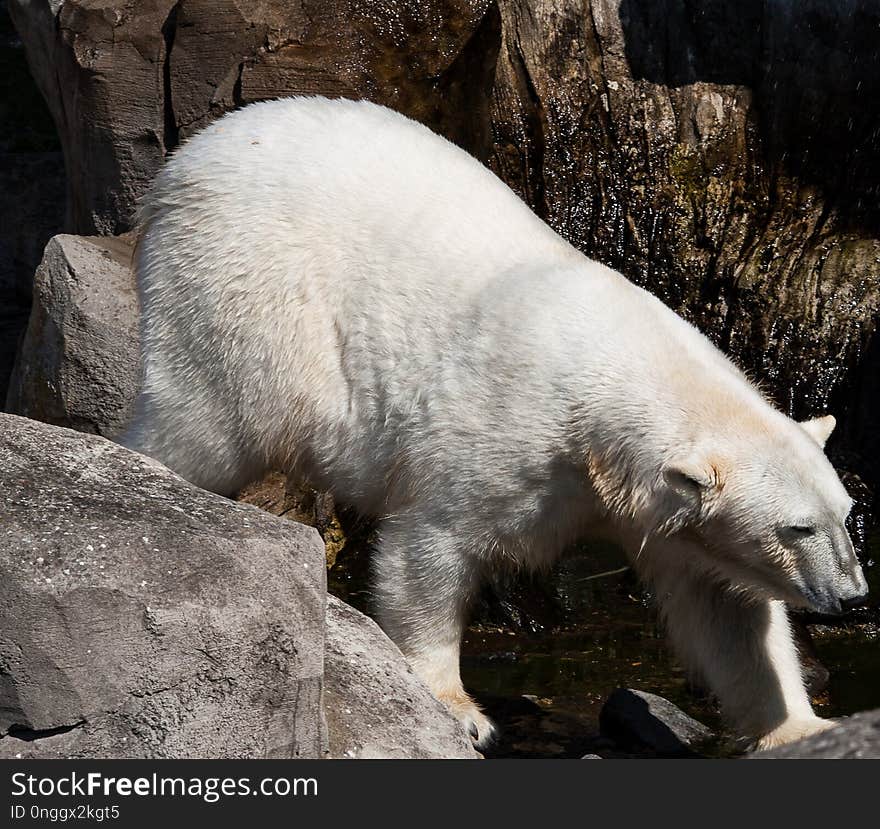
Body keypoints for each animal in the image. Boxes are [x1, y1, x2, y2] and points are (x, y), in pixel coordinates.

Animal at [120, 95, 868, 752]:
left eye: (844, 515)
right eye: (796, 528)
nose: (855, 596)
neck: (610, 387)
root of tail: (182, 164)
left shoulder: (656, 511)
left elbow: (729, 615)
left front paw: (803, 726)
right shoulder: (506, 441)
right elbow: (429, 549)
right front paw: (461, 710)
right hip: (245, 292)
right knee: (204, 423)